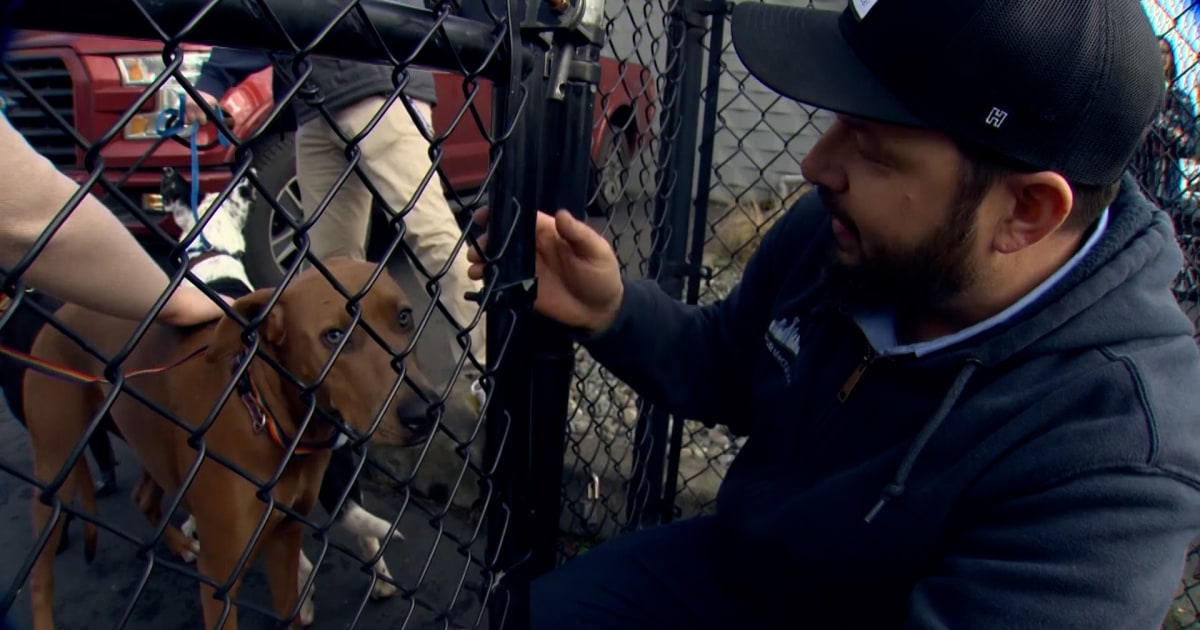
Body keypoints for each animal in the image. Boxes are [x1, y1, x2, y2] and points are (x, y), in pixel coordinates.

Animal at [21, 258, 441, 624]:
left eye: (404, 316)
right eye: (334, 336)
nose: (424, 412)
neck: (263, 413)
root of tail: (57, 316)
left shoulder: (285, 536)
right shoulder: (221, 573)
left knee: (143, 496)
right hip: (54, 469)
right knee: (40, 575)